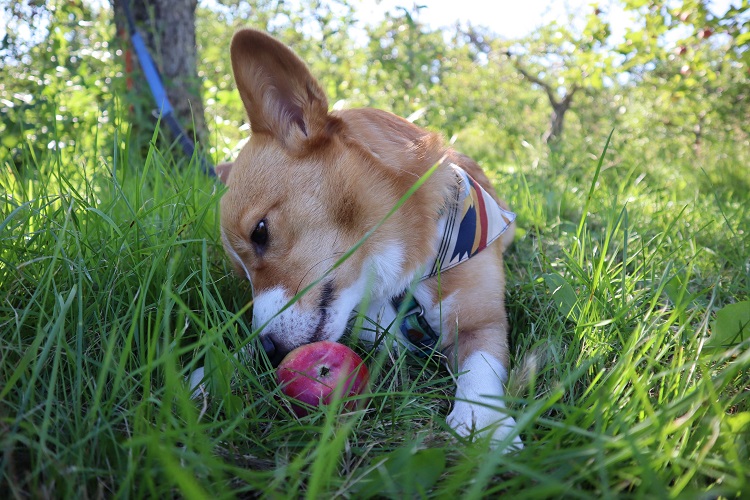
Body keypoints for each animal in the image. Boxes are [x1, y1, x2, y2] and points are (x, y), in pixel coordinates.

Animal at [206, 29, 524, 452]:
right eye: (242, 278)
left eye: (260, 231)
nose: (268, 350)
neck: (395, 276)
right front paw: (213, 372)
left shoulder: (482, 323)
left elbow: (481, 372)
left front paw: (483, 423)